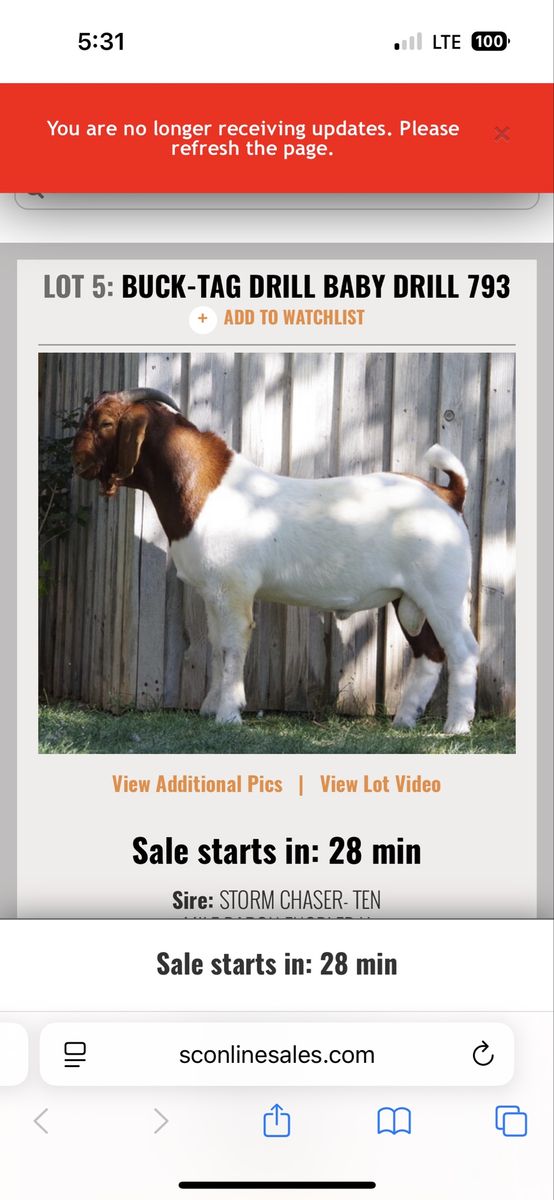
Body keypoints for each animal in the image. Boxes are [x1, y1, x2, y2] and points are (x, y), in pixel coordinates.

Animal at [73, 387, 479, 733]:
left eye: (105, 423)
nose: (76, 459)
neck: (203, 486)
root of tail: (448, 494)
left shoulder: (233, 591)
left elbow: (232, 646)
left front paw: (229, 715)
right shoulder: (212, 594)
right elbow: (216, 647)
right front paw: (209, 708)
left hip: (442, 593)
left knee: (462, 651)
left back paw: (456, 726)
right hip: (407, 598)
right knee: (429, 654)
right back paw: (404, 721)